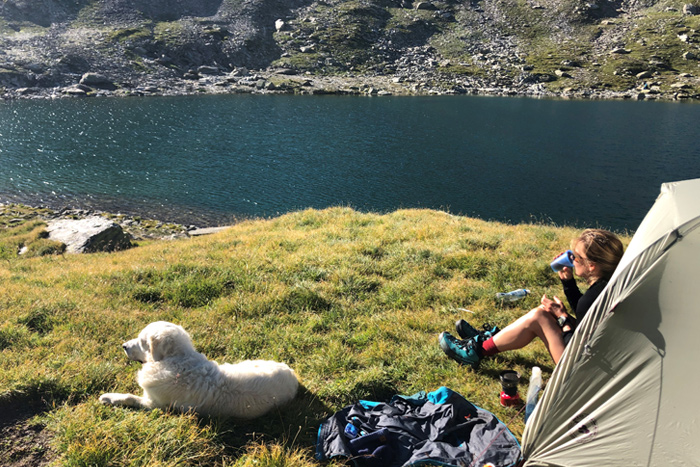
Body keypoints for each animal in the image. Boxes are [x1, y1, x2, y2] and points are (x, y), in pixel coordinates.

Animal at [99, 322, 298, 420]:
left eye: (141, 341)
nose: (124, 346)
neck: (176, 360)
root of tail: (294, 377)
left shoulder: (154, 403)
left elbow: (129, 397)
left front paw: (108, 397)